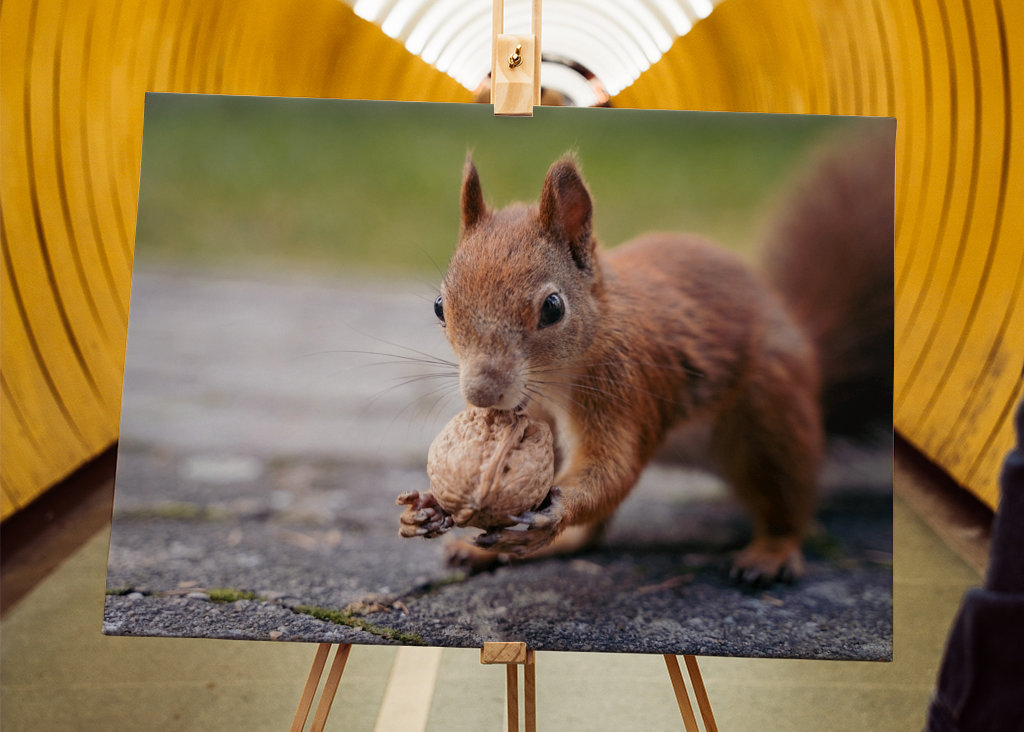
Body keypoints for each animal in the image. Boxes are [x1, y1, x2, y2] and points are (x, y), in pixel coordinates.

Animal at [403, 127, 894, 586]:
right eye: (440, 306)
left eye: (553, 308)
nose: (482, 394)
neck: (558, 378)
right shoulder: (536, 416)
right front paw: (432, 505)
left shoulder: (625, 386)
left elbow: (613, 469)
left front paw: (553, 511)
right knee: (591, 537)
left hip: (771, 416)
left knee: (787, 503)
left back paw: (770, 553)